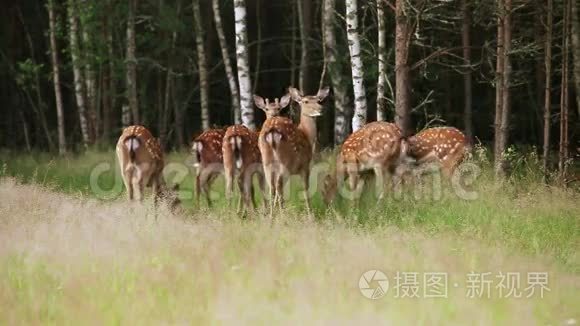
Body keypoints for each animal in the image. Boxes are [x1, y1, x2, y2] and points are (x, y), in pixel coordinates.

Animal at [260, 86, 330, 216]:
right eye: (306, 101)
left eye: (319, 100)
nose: (321, 109)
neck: (306, 135)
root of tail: (272, 131)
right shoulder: (305, 166)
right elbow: (306, 189)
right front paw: (310, 214)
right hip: (284, 160)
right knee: (278, 184)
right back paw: (282, 214)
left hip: (266, 160)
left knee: (271, 185)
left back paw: (272, 215)